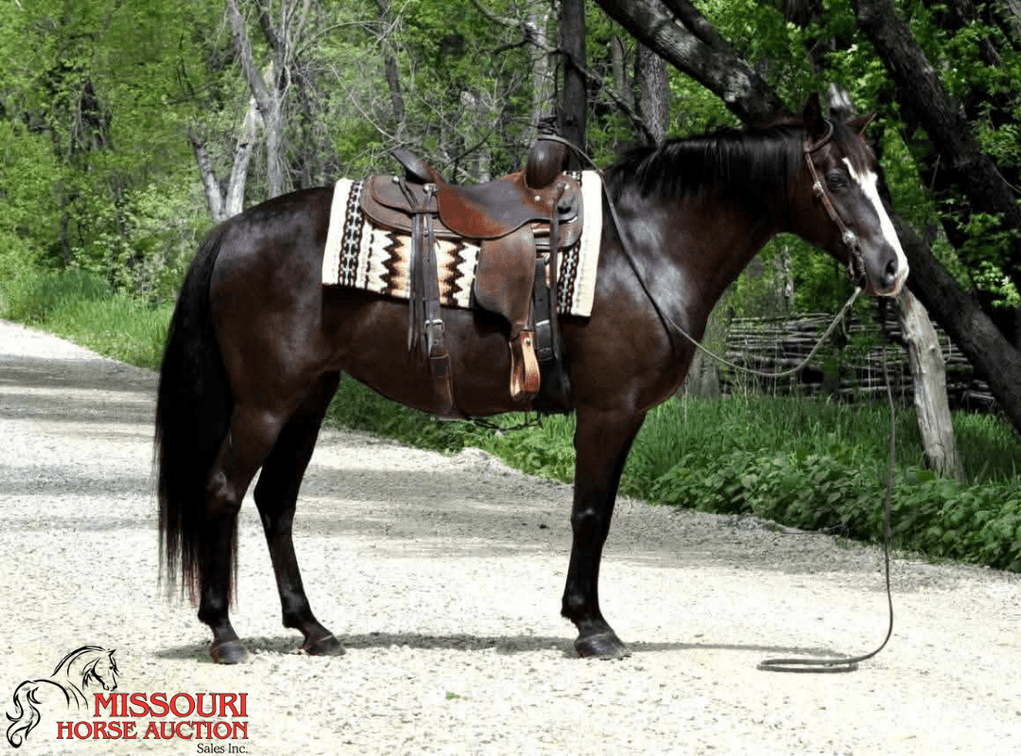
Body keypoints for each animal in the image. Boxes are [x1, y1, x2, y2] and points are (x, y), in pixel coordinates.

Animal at [155, 95, 908, 664]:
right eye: (838, 178)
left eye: (875, 175)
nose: (892, 269)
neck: (645, 246)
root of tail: (232, 230)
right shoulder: (609, 410)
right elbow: (591, 514)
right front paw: (592, 627)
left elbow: (595, 513)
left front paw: (586, 619)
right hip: (266, 401)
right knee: (223, 491)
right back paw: (224, 633)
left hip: (309, 397)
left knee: (275, 503)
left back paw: (313, 629)